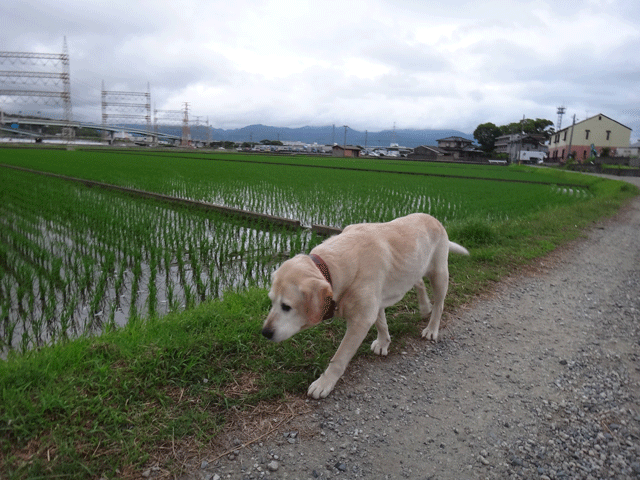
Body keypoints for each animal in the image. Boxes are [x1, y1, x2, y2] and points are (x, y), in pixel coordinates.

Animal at [262, 213, 470, 398]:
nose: (265, 333)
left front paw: (324, 383)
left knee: (439, 305)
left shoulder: (361, 320)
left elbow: (339, 357)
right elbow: (382, 324)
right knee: (418, 282)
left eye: (286, 306)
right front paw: (384, 342)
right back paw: (425, 306)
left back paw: (432, 328)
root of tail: (434, 219)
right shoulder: (373, 304)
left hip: (439, 274)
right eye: (271, 301)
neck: (335, 266)